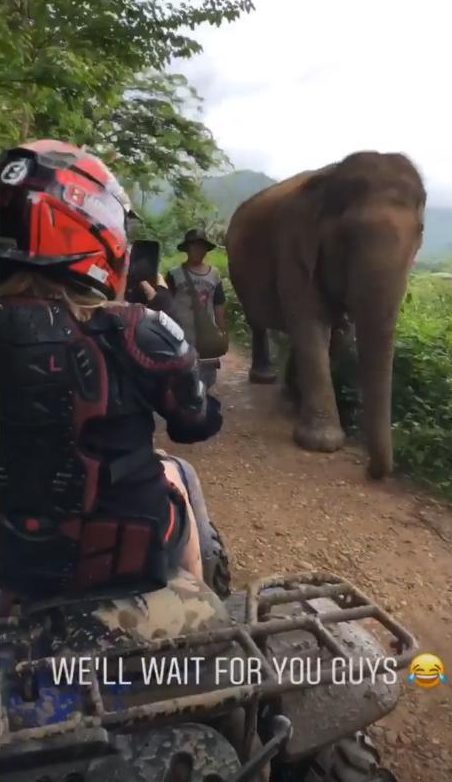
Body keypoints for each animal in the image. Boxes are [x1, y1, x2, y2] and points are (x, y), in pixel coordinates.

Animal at [228, 152, 426, 478]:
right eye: (346, 236)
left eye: (420, 232)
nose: (373, 471)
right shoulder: (293, 246)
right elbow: (310, 322)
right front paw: (321, 442)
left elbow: (339, 332)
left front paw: (296, 403)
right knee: (257, 321)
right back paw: (264, 379)